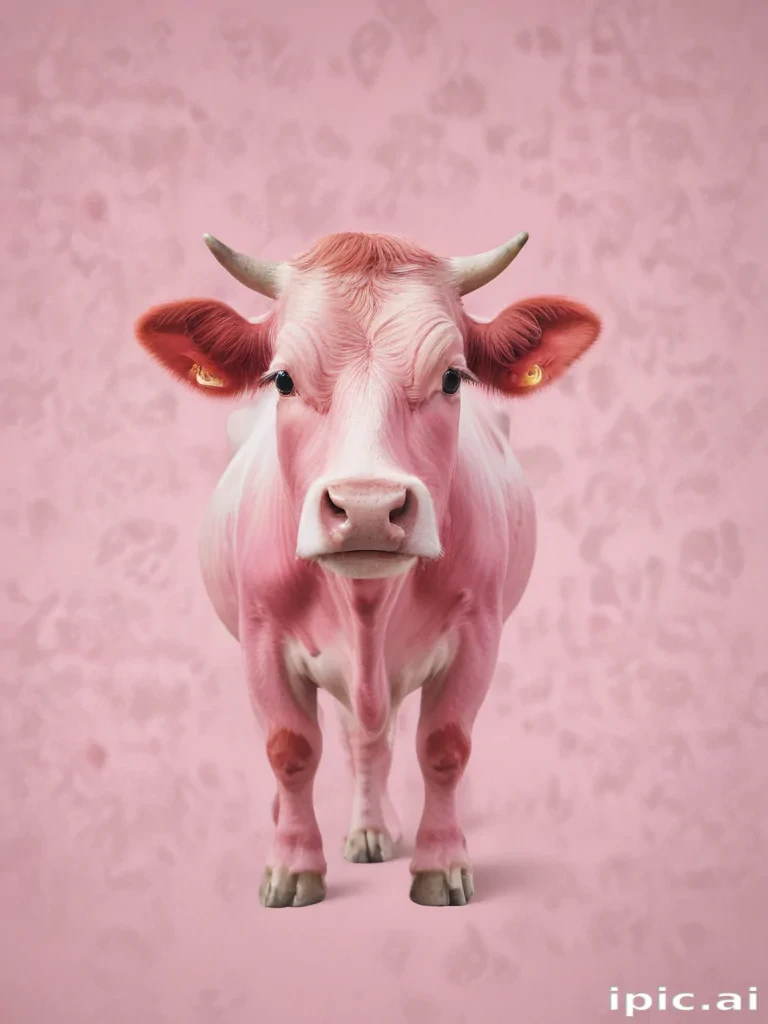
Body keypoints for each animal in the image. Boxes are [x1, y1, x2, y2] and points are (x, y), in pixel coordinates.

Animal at [134, 229, 601, 908]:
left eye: (453, 378)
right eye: (281, 379)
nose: (368, 507)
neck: (367, 608)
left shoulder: (479, 634)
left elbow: (443, 747)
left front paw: (440, 864)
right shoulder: (260, 636)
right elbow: (290, 749)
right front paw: (292, 866)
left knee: (371, 740)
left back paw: (376, 831)